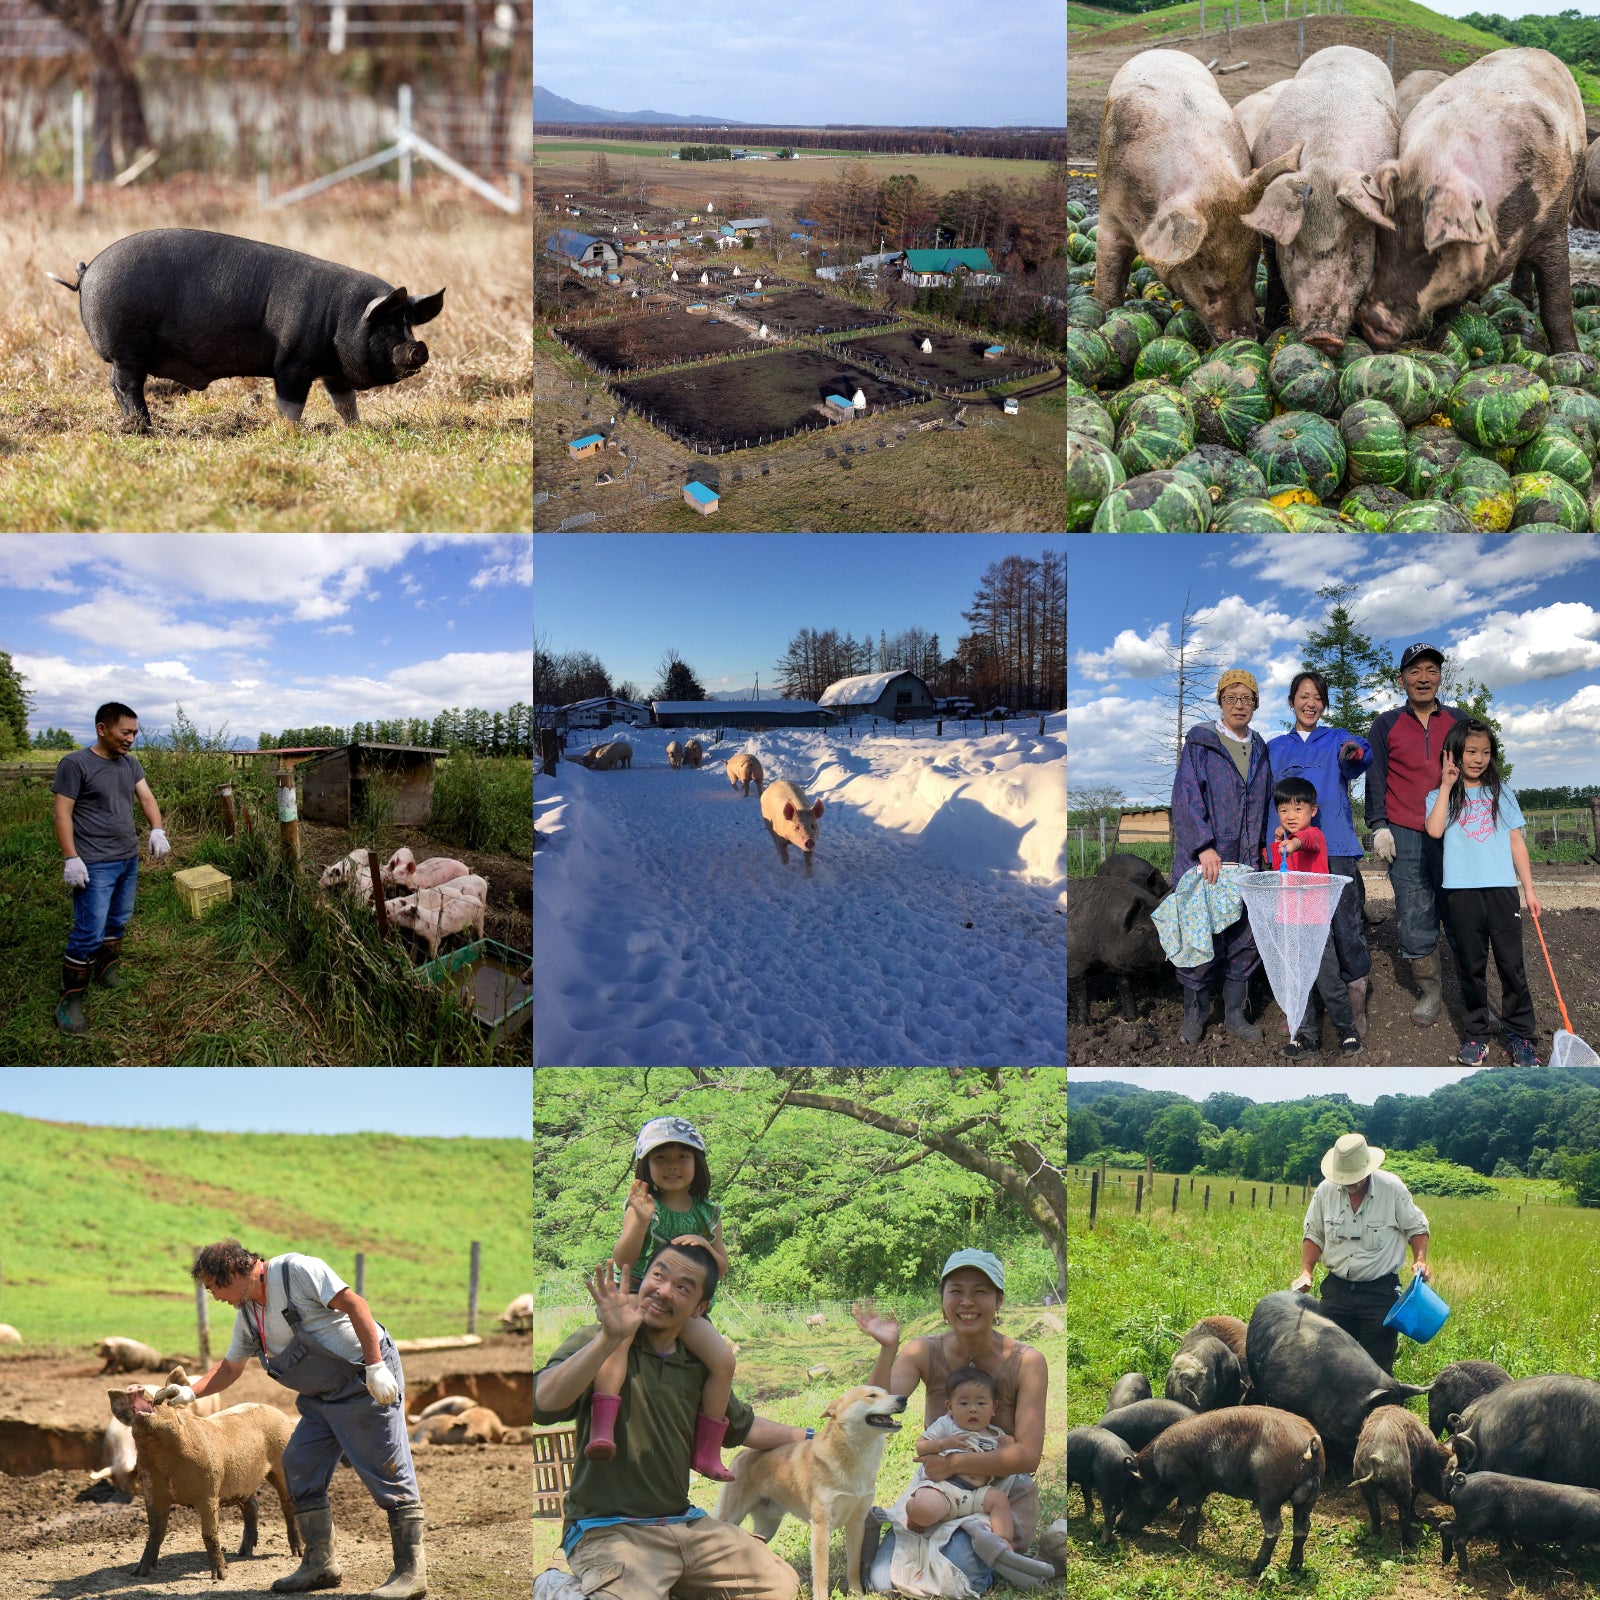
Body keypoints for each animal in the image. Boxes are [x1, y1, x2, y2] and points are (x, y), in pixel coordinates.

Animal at [48, 228, 444, 432]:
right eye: (386, 326)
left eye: (410, 325)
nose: (419, 348)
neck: (340, 318)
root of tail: (87, 270)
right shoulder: (292, 364)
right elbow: (290, 403)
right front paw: (291, 433)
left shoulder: (333, 371)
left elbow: (344, 402)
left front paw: (357, 429)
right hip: (127, 351)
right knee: (126, 386)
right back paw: (143, 428)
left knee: (117, 387)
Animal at [720, 1382, 908, 1593]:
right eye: (872, 1396)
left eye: (887, 1392)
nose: (903, 1398)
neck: (854, 1459)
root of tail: (741, 1454)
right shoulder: (821, 1526)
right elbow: (821, 1576)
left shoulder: (857, 1523)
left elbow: (853, 1567)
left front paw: (857, 1593)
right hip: (731, 1517)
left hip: (768, 1527)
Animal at [1094, 52, 1305, 344]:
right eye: (1199, 262)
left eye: (1253, 260)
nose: (1243, 335)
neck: (1205, 176)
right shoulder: (1109, 210)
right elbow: (1109, 275)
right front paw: (1105, 311)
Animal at [1113, 1401, 1324, 1574]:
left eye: (1132, 1493)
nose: (1119, 1526)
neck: (1159, 1469)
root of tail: (1310, 1444)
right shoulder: (1203, 1485)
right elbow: (1196, 1508)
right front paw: (1181, 1537)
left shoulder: (1188, 1480)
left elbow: (1190, 1509)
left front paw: (1188, 1545)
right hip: (1308, 1499)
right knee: (1302, 1526)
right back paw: (1293, 1567)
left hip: (1270, 1495)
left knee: (1276, 1528)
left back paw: (1255, 1568)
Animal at [1350, 48, 1587, 352]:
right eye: (1382, 240)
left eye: (1435, 251)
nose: (1371, 319)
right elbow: (1448, 307)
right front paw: (1439, 340)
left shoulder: (1553, 224)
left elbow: (1557, 303)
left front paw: (1573, 356)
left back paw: (1523, 302)